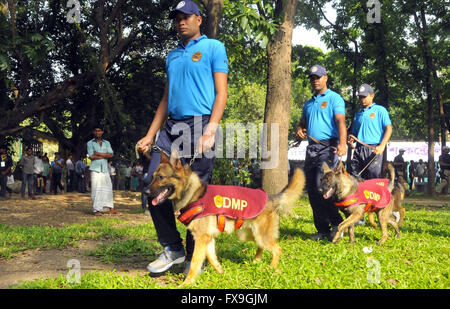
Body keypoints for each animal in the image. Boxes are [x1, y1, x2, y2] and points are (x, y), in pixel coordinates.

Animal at [148, 149, 306, 284]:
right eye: (153, 177)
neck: (193, 193)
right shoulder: (208, 239)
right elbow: (212, 259)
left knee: (277, 249)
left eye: (161, 177)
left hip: (260, 235)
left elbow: (194, 264)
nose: (146, 191)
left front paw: (187, 283)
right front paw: (220, 272)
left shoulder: (201, 238)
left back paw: (271, 268)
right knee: (262, 246)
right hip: (247, 234)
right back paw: (256, 262)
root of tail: (271, 197)